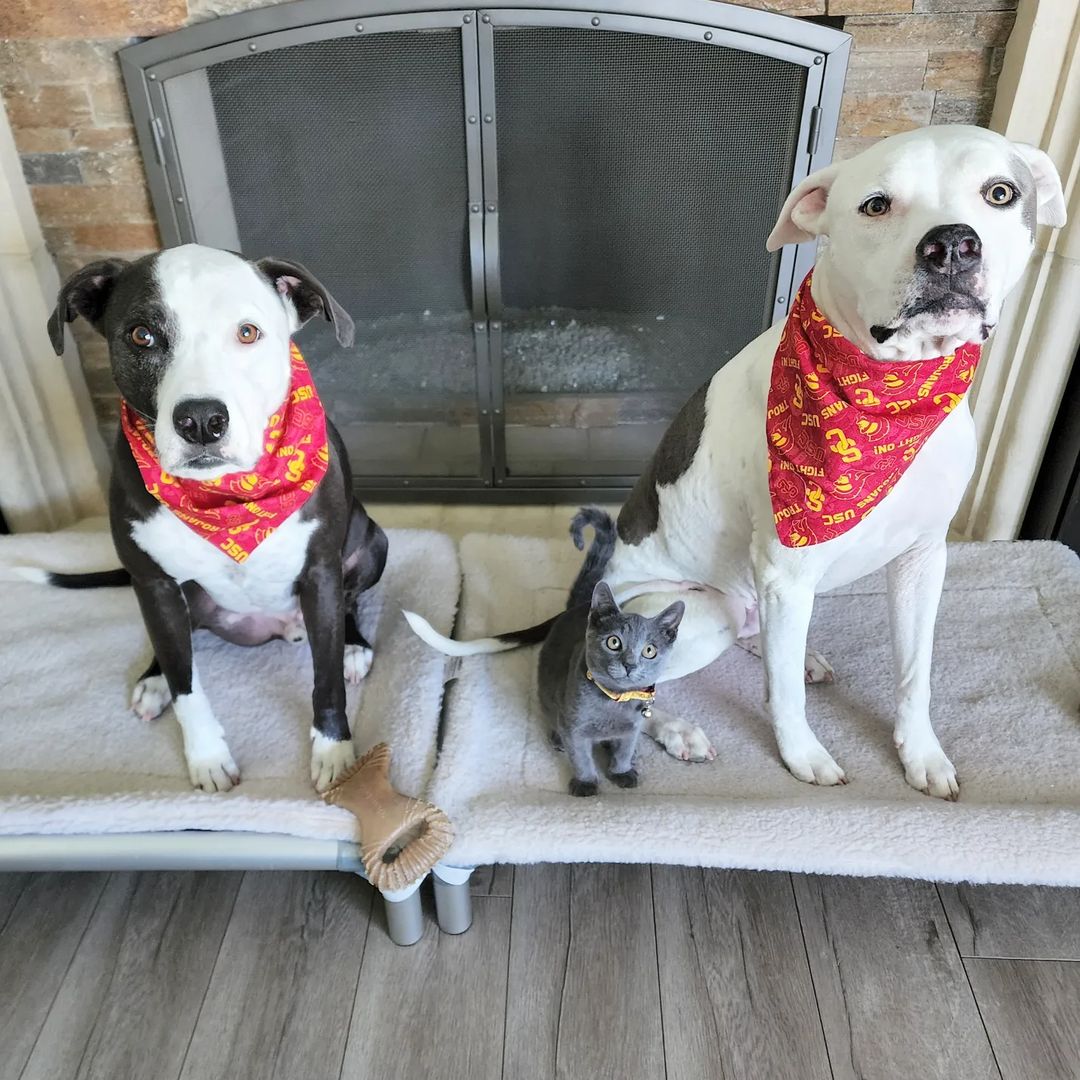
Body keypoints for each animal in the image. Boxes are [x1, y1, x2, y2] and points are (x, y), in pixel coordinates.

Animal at [44, 248, 388, 799]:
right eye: (141, 335)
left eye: (247, 332)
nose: (202, 420)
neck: (227, 499)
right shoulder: (154, 584)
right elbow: (187, 686)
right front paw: (207, 758)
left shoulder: (320, 572)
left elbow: (327, 677)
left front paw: (335, 753)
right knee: (174, 649)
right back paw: (154, 681)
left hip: (371, 544)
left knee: (350, 604)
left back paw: (355, 647)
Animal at [540, 578, 682, 799]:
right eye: (613, 642)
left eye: (649, 650)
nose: (630, 665)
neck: (615, 700)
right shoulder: (574, 729)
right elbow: (581, 758)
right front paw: (586, 783)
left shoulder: (633, 727)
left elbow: (624, 750)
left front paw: (622, 771)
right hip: (547, 693)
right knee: (553, 718)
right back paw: (558, 739)